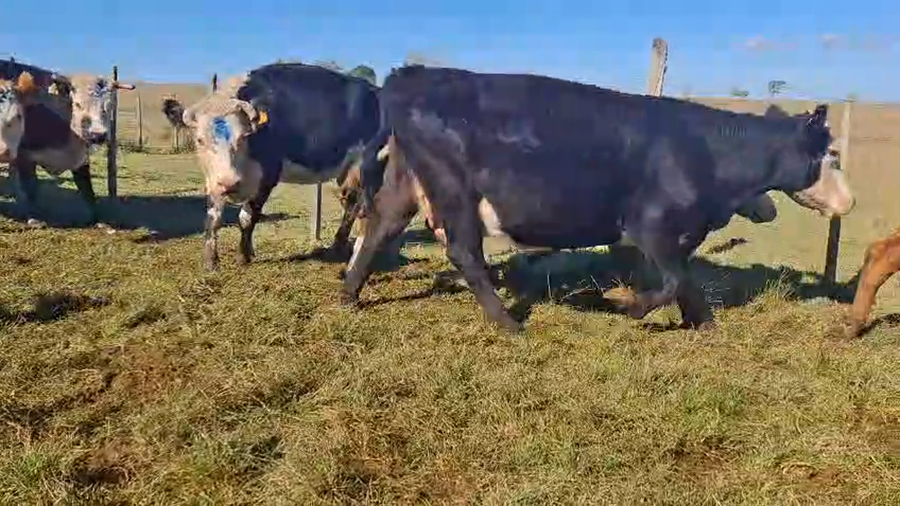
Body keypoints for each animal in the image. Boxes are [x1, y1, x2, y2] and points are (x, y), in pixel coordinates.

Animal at [1, 62, 135, 227]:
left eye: (108, 107)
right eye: (77, 104)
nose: (98, 135)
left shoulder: (81, 160)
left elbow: (87, 190)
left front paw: (99, 220)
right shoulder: (24, 155)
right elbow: (30, 187)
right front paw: (33, 217)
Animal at [163, 63, 385, 271]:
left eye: (243, 137)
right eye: (199, 140)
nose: (231, 183)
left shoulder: (268, 176)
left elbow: (247, 217)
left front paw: (243, 256)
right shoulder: (215, 181)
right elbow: (213, 218)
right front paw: (211, 261)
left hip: (363, 165)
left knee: (356, 205)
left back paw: (339, 247)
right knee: (351, 203)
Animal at [340, 65, 855, 333]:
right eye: (831, 155)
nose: (849, 203)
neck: (703, 150)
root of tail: (413, 74)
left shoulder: (677, 234)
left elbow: (685, 280)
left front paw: (702, 323)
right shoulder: (650, 225)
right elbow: (672, 280)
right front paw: (625, 306)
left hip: (407, 183)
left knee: (378, 228)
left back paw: (348, 296)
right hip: (455, 191)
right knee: (464, 252)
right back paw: (508, 323)